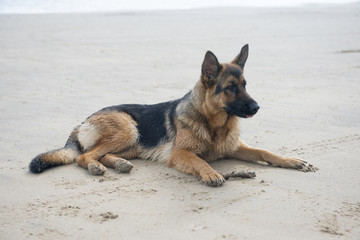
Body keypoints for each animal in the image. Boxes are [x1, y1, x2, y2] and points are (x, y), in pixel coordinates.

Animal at [30, 45, 312, 188]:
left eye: (244, 85)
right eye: (230, 88)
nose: (256, 107)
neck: (212, 124)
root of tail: (82, 122)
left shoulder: (234, 147)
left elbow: (266, 152)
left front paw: (292, 161)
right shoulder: (180, 153)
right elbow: (200, 161)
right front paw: (210, 173)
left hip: (134, 144)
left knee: (101, 153)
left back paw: (118, 164)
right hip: (128, 129)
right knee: (84, 156)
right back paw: (96, 166)